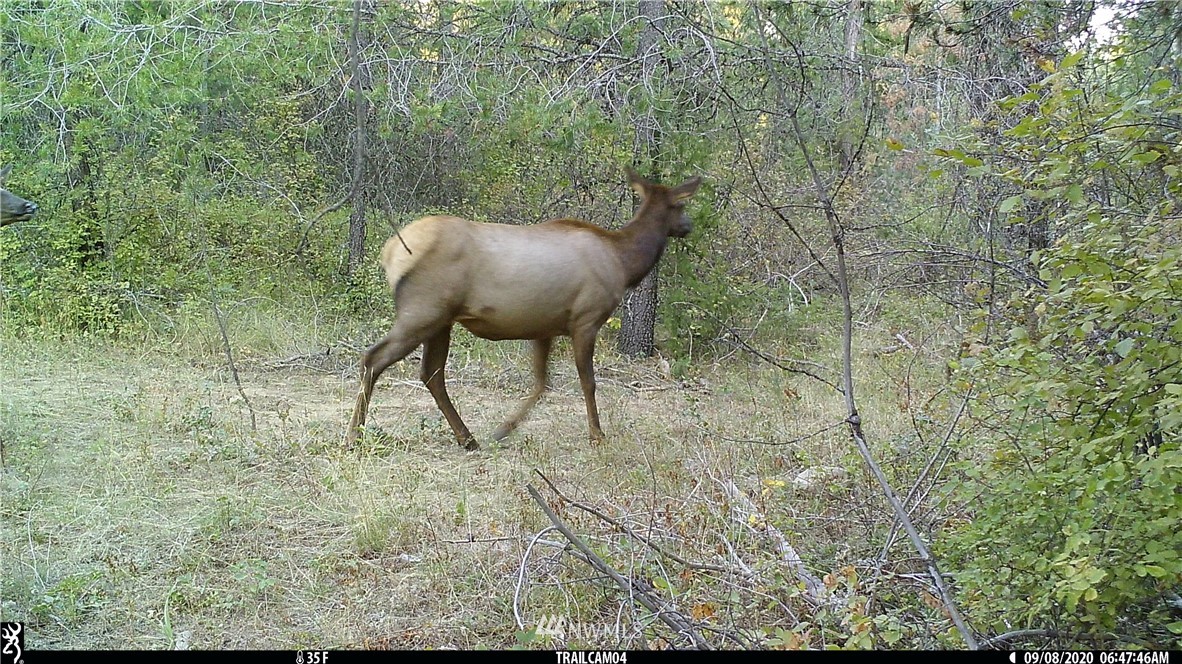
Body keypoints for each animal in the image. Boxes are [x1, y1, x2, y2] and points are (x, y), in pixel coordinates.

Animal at [345, 167, 703, 450]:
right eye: (681, 204)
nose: (688, 225)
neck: (623, 262)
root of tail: (392, 253)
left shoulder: (545, 327)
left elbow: (542, 383)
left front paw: (503, 429)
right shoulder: (586, 319)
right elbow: (587, 381)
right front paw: (597, 435)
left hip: (441, 320)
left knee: (431, 374)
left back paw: (468, 438)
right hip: (422, 311)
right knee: (374, 358)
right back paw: (353, 436)